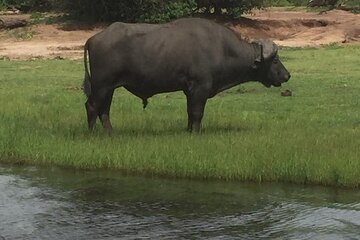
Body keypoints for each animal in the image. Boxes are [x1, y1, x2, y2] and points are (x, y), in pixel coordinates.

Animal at [83, 17, 292, 132]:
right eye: (275, 60)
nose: (287, 76)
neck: (222, 49)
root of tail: (93, 39)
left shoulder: (189, 91)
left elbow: (190, 113)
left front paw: (189, 130)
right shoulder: (200, 88)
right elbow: (198, 113)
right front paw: (196, 132)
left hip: (109, 87)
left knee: (104, 110)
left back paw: (110, 133)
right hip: (101, 85)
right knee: (92, 106)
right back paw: (93, 133)